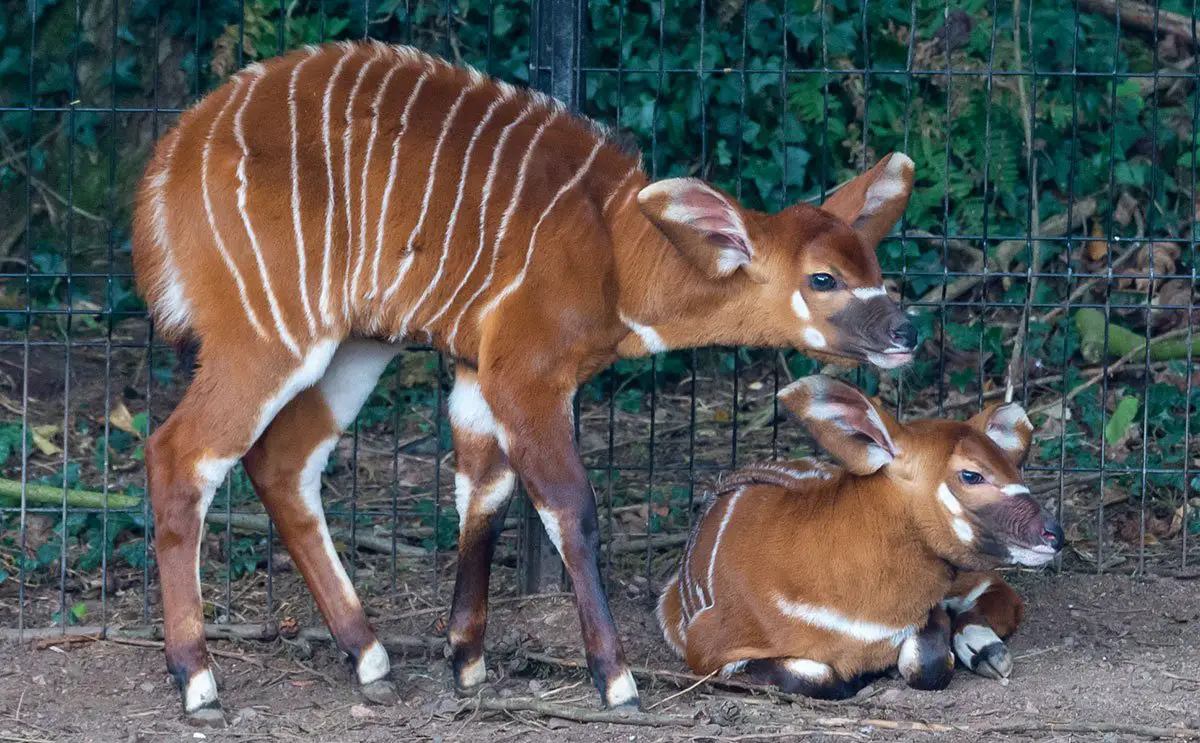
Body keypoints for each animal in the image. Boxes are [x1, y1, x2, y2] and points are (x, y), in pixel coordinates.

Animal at [131, 39, 916, 720]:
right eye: (823, 278)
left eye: (874, 266)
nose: (906, 333)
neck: (616, 249)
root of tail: (166, 168)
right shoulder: (526, 374)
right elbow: (569, 509)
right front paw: (616, 681)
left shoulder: (478, 372)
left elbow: (483, 496)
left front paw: (468, 664)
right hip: (267, 332)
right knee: (181, 452)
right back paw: (197, 678)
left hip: (357, 342)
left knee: (284, 461)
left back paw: (371, 656)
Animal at [662, 376, 1065, 696]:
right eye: (971, 474)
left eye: (1014, 467)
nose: (1054, 533)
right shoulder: (706, 651)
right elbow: (820, 676)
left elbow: (929, 664)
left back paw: (987, 653)